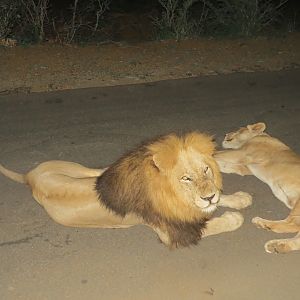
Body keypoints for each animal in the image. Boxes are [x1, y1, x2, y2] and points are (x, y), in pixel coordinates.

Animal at [1, 132, 252, 247]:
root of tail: (29, 177)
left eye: (206, 169)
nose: (209, 196)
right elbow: (213, 224)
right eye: (186, 178)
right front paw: (233, 217)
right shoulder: (167, 231)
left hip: (80, 169)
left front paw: (238, 199)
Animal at [214, 123, 300, 253]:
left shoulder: (241, 153)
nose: (226, 134)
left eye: (239, 130)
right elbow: (223, 165)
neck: (260, 135)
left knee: (292, 224)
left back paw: (261, 223)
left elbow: (216, 154)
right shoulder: (244, 168)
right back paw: (276, 245)